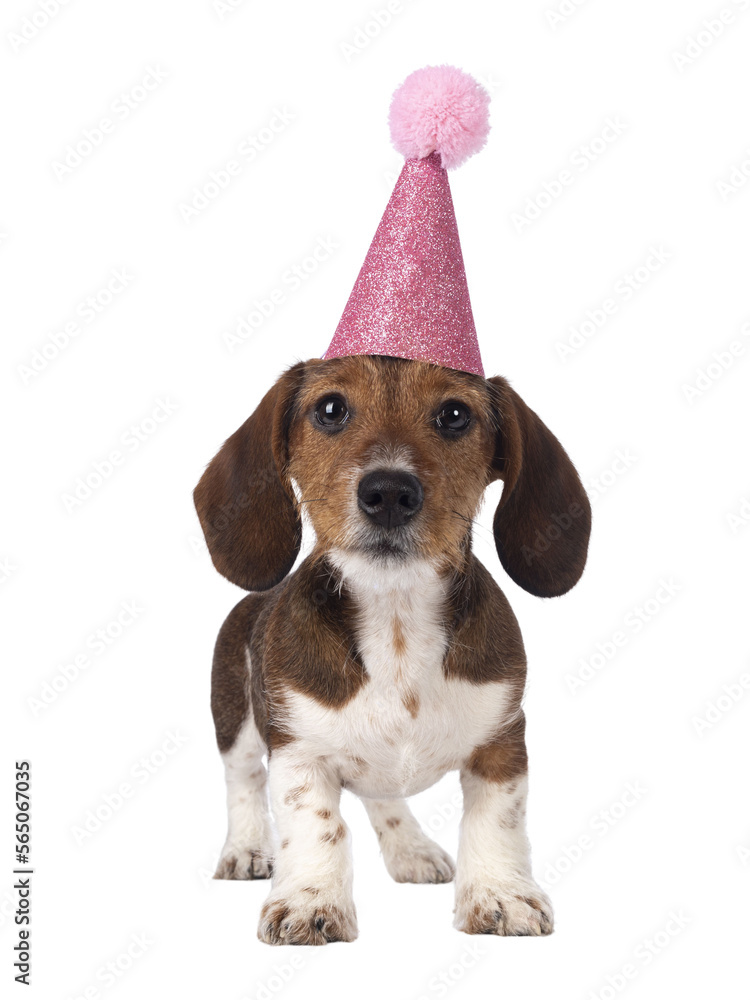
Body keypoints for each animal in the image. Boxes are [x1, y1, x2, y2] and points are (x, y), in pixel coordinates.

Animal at [194, 354, 592, 944]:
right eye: (330, 409)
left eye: (454, 414)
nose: (387, 493)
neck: (396, 617)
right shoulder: (299, 751)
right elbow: (317, 827)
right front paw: (310, 900)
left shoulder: (502, 743)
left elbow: (496, 820)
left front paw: (500, 893)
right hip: (236, 722)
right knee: (243, 781)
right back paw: (244, 849)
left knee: (381, 795)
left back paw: (412, 849)